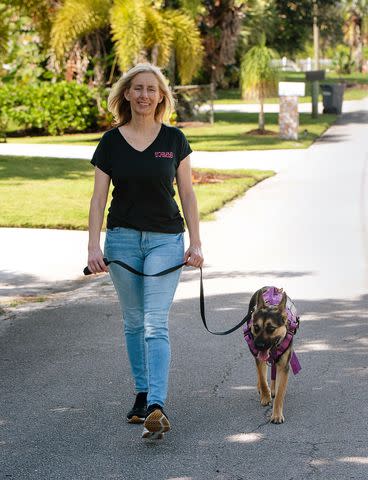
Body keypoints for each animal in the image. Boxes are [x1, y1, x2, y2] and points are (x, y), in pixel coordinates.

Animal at [243, 286, 300, 422]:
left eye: (271, 329)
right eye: (256, 327)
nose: (258, 346)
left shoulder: (284, 367)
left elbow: (280, 393)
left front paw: (277, 415)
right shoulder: (260, 359)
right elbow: (263, 379)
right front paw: (265, 397)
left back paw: (273, 389)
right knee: (262, 374)